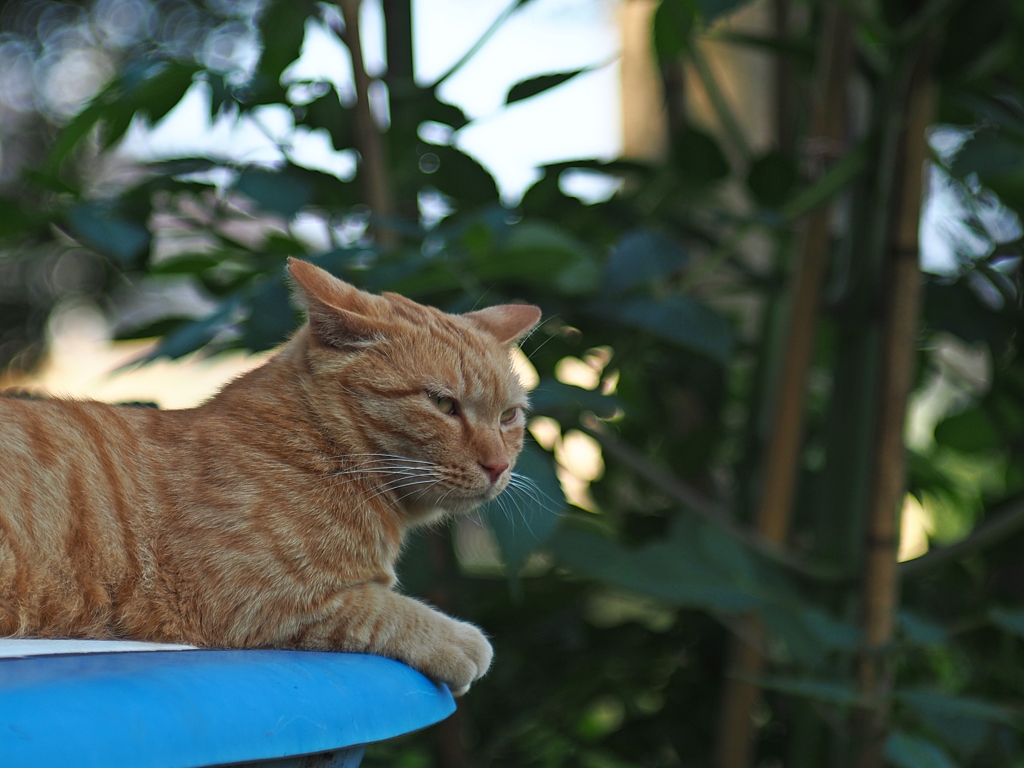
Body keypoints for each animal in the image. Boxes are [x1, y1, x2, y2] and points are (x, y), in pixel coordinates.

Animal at [0, 260, 540, 696]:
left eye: (509, 417)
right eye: (443, 404)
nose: (498, 466)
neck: (322, 451)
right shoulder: (255, 600)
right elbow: (385, 610)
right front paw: (459, 642)